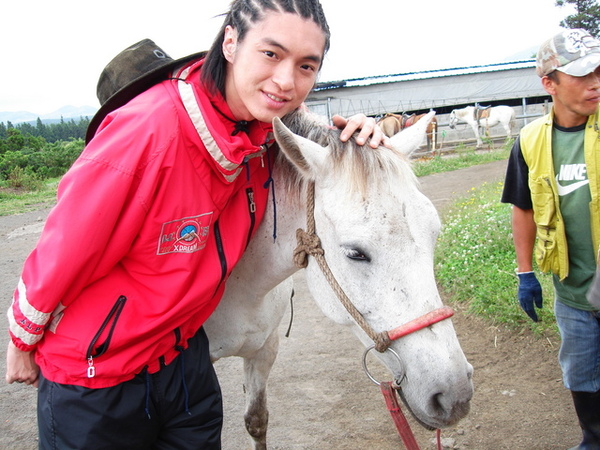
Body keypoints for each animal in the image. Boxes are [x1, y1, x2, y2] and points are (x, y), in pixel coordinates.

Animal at [205, 110, 474, 450]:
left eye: (434, 234)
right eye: (355, 253)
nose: (455, 395)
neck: (243, 288)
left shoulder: (264, 350)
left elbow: (257, 420)